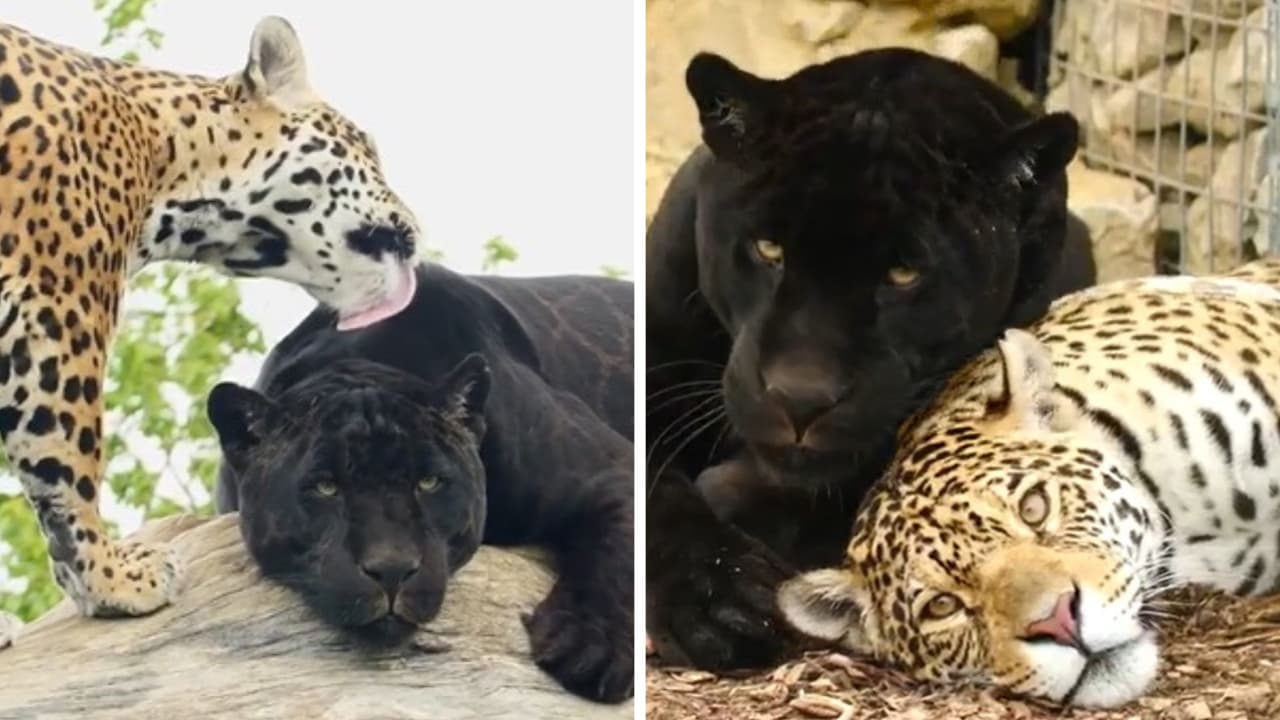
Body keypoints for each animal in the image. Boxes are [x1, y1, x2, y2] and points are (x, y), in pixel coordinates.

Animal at [0, 16, 423, 647]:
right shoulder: (56, 308)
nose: (417, 231)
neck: (166, 160)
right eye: (367, 146)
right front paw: (109, 579)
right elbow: (66, 456)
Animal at [210, 264, 634, 703]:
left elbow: (619, 555)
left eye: (429, 482)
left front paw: (591, 648)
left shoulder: (610, 465)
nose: (392, 570)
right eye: (325, 487)